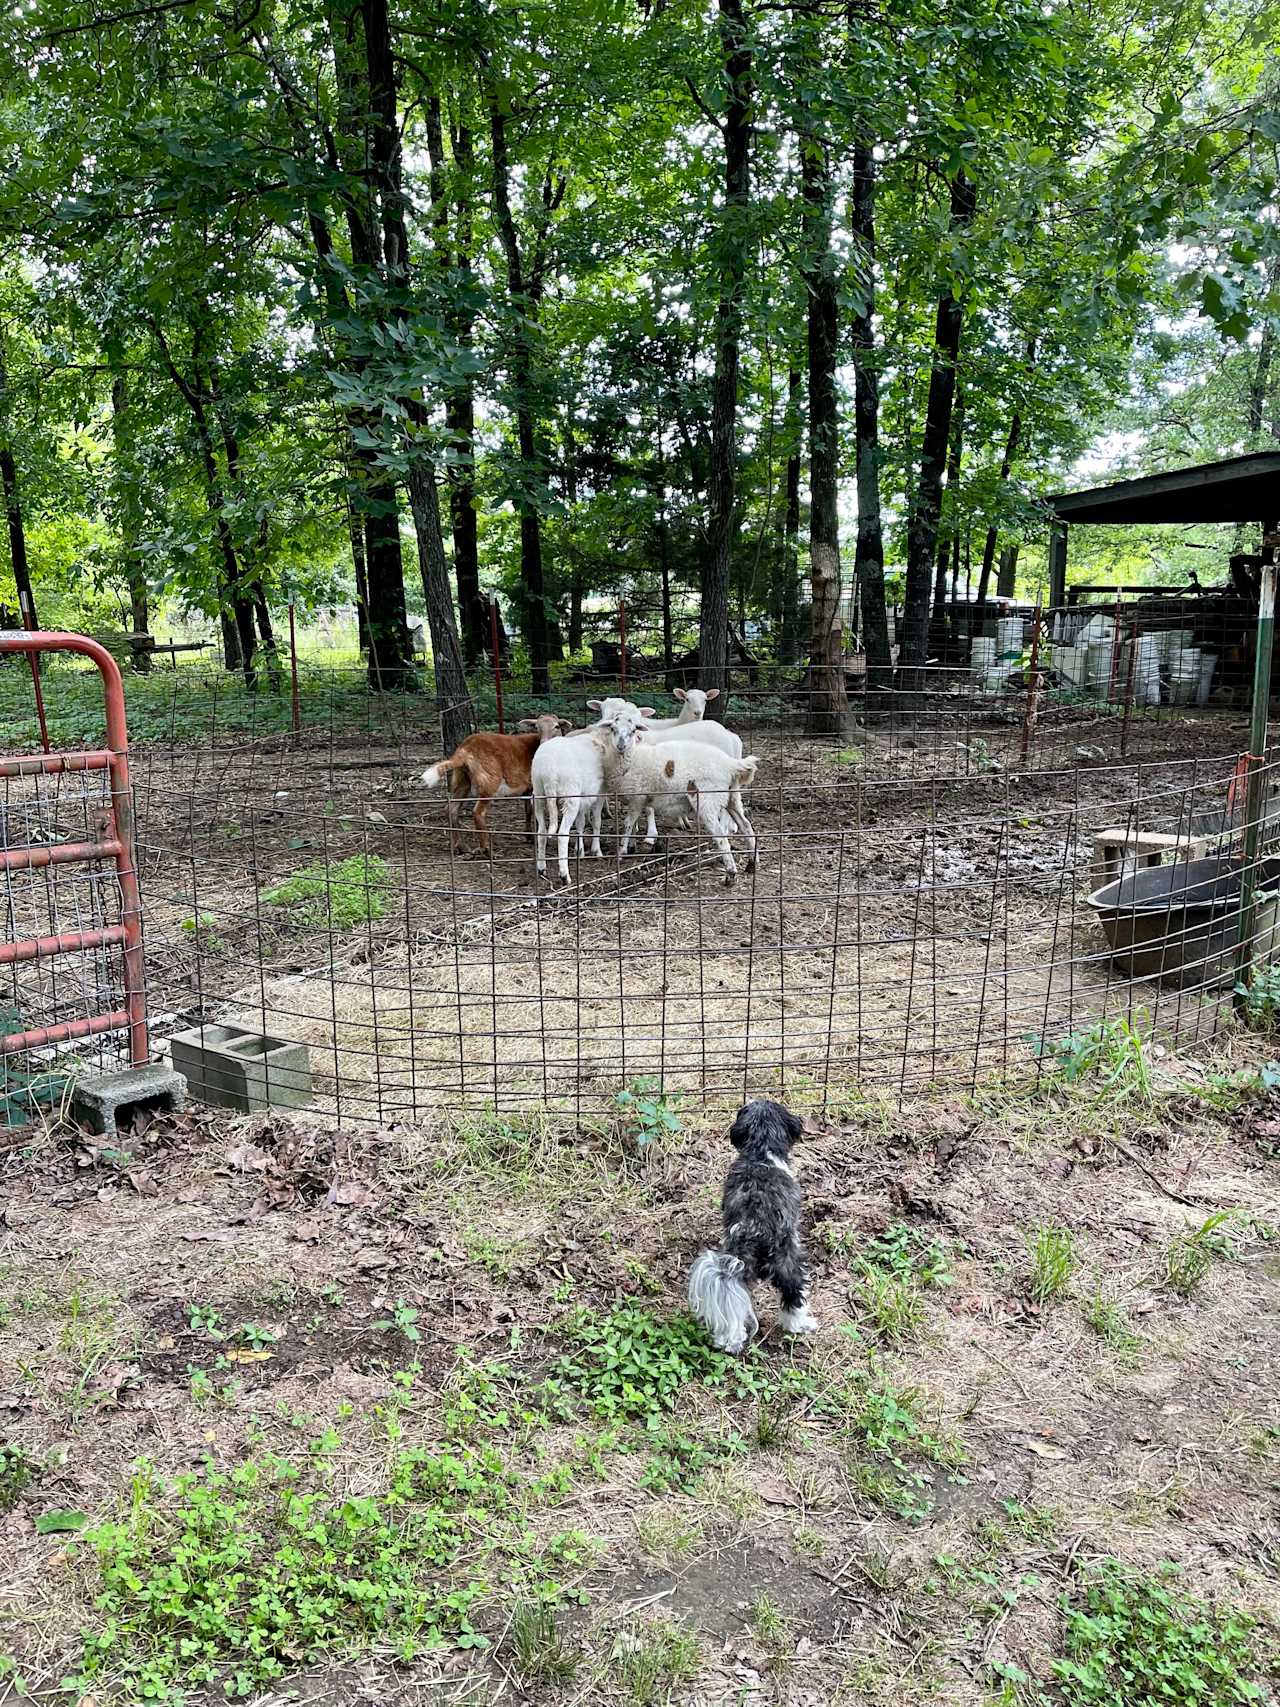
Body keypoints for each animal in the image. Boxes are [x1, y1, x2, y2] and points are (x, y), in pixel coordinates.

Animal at [600, 710, 761, 894]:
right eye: (613, 728)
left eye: (633, 730)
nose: (621, 745)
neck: (632, 757)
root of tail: (731, 765)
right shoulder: (634, 799)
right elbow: (633, 825)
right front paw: (631, 847)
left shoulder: (637, 797)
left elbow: (627, 824)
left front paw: (621, 852)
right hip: (732, 797)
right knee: (746, 826)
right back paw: (752, 864)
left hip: (707, 800)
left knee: (721, 837)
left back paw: (730, 875)